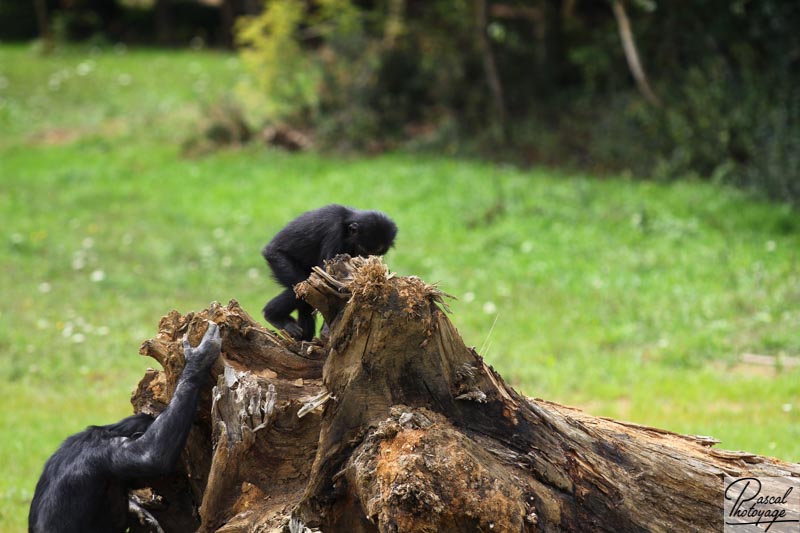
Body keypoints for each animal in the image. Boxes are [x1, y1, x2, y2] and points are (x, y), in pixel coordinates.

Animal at [264, 204, 398, 340]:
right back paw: (274, 317)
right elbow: (325, 272)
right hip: (278, 259)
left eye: (376, 254)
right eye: (364, 251)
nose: (366, 259)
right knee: (299, 286)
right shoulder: (334, 234)